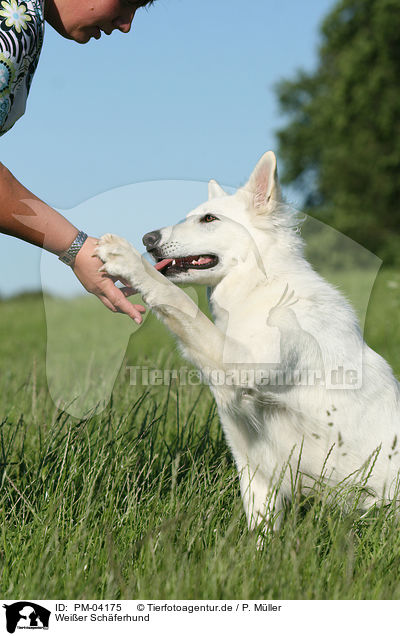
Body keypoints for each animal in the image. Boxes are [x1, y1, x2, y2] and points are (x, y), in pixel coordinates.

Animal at [96, 153, 400, 532]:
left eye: (208, 219)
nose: (147, 238)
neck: (258, 289)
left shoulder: (245, 365)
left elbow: (178, 301)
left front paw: (128, 260)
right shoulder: (252, 461)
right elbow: (261, 533)